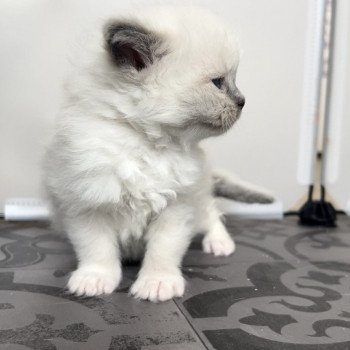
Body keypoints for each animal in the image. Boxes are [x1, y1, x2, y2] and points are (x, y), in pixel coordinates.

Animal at [43, 6, 274, 300]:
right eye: (218, 82)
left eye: (232, 80)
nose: (243, 101)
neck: (147, 143)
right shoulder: (85, 204)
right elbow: (97, 249)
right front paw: (95, 279)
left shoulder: (178, 206)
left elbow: (163, 250)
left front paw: (157, 283)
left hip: (199, 199)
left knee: (211, 214)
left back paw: (219, 244)